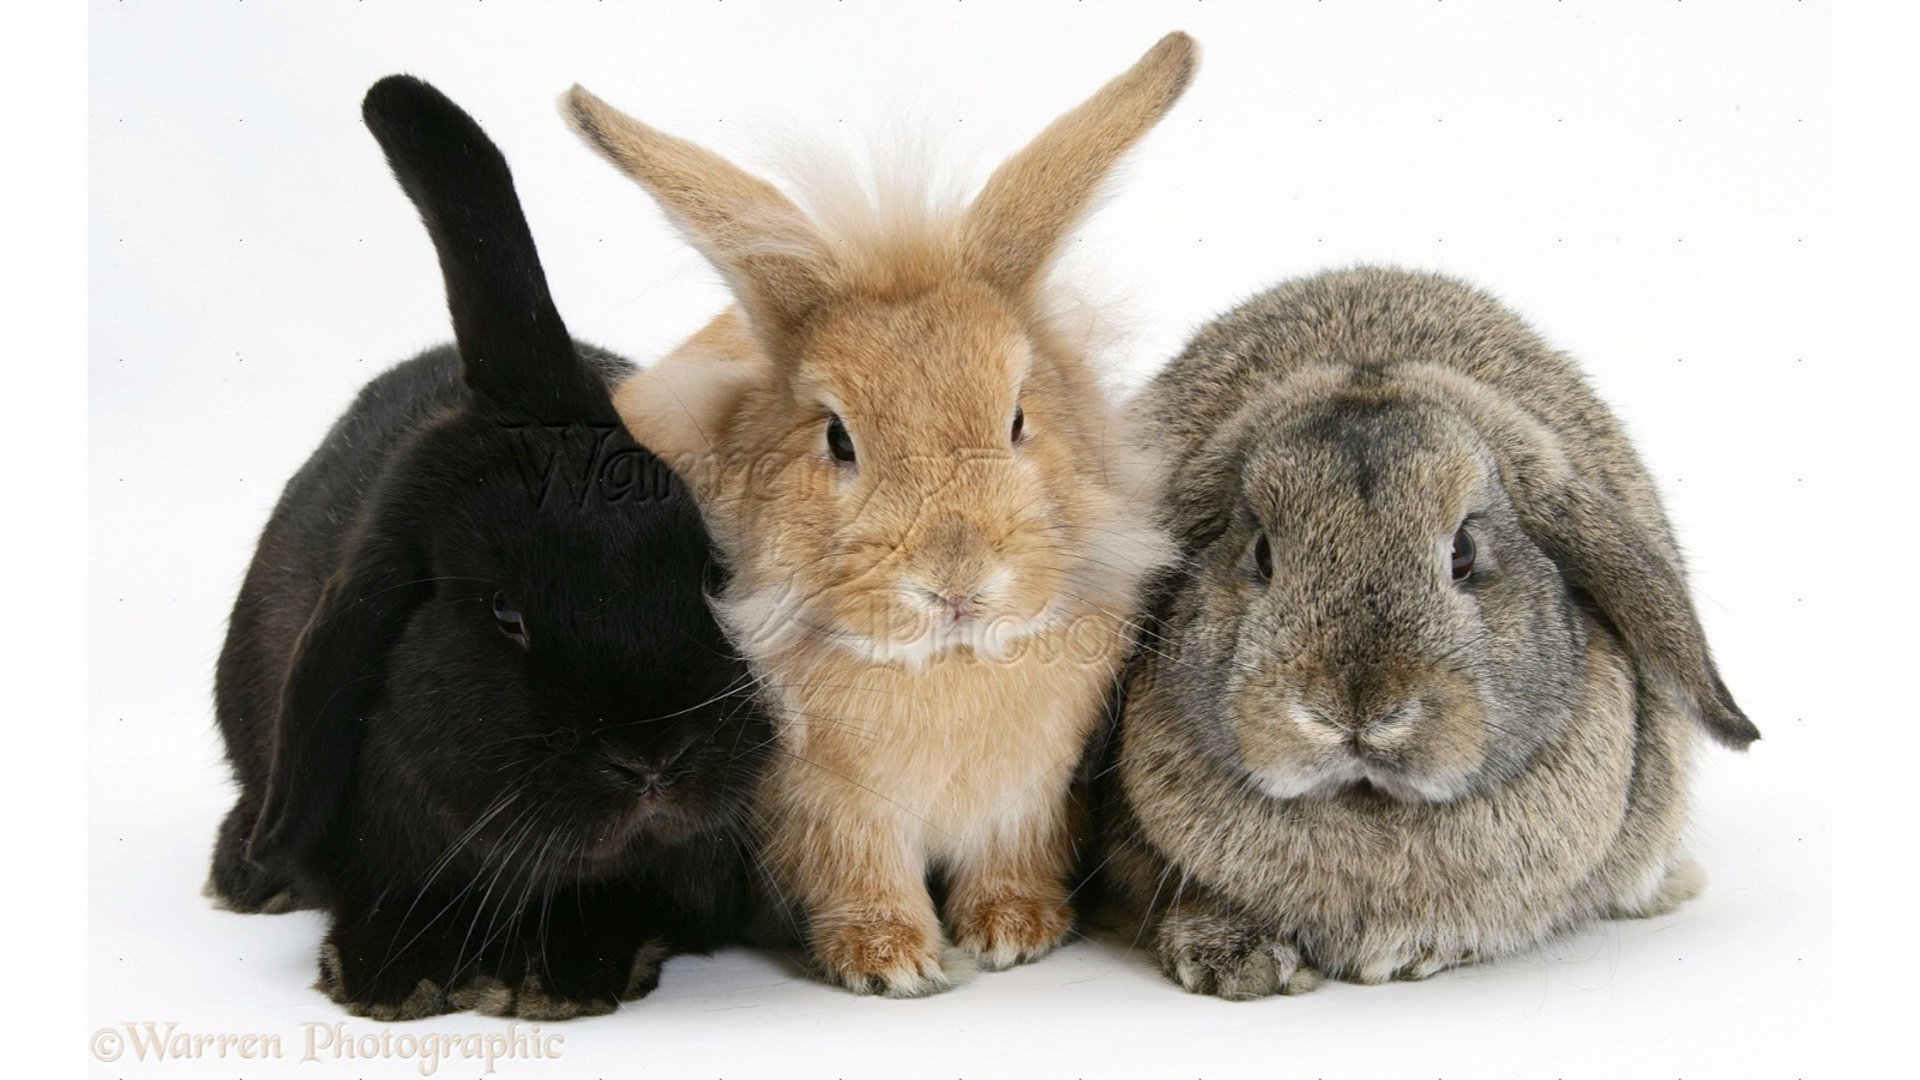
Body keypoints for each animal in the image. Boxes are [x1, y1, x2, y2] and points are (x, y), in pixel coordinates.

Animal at [203, 75, 771, 1021]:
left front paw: (565, 972)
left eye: (708, 573)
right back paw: (244, 872)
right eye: (505, 611)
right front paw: (392, 975)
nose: (653, 760)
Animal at [560, 33, 1194, 995]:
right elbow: (860, 874)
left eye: (1018, 418)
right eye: (838, 438)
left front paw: (1017, 932)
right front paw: (888, 960)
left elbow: (1012, 857)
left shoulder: (1028, 798)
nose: (957, 581)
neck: (945, 667)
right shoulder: (829, 810)